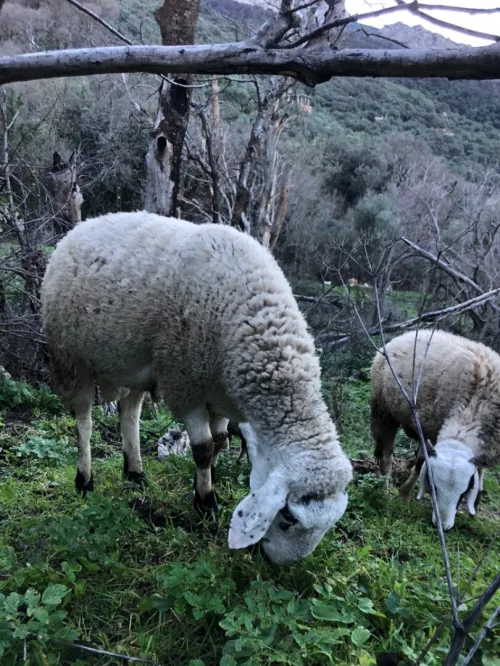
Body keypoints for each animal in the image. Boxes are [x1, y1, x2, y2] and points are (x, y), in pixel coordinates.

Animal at [41, 211, 353, 565]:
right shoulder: (185, 383)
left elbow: (218, 441)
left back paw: (135, 473)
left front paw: (208, 481)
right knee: (84, 422)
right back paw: (85, 481)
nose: (280, 564)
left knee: (129, 412)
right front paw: (205, 502)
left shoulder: (220, 395)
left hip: (134, 363)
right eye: (288, 517)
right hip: (71, 357)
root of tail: (87, 223)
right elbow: (202, 448)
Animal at [371, 329, 500, 530]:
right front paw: (405, 495)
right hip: (383, 410)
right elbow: (420, 464)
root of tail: (412, 332)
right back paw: (385, 487)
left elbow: (479, 472)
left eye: (463, 493)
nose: (443, 526)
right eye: (434, 488)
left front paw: (475, 507)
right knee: (386, 456)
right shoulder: (427, 430)